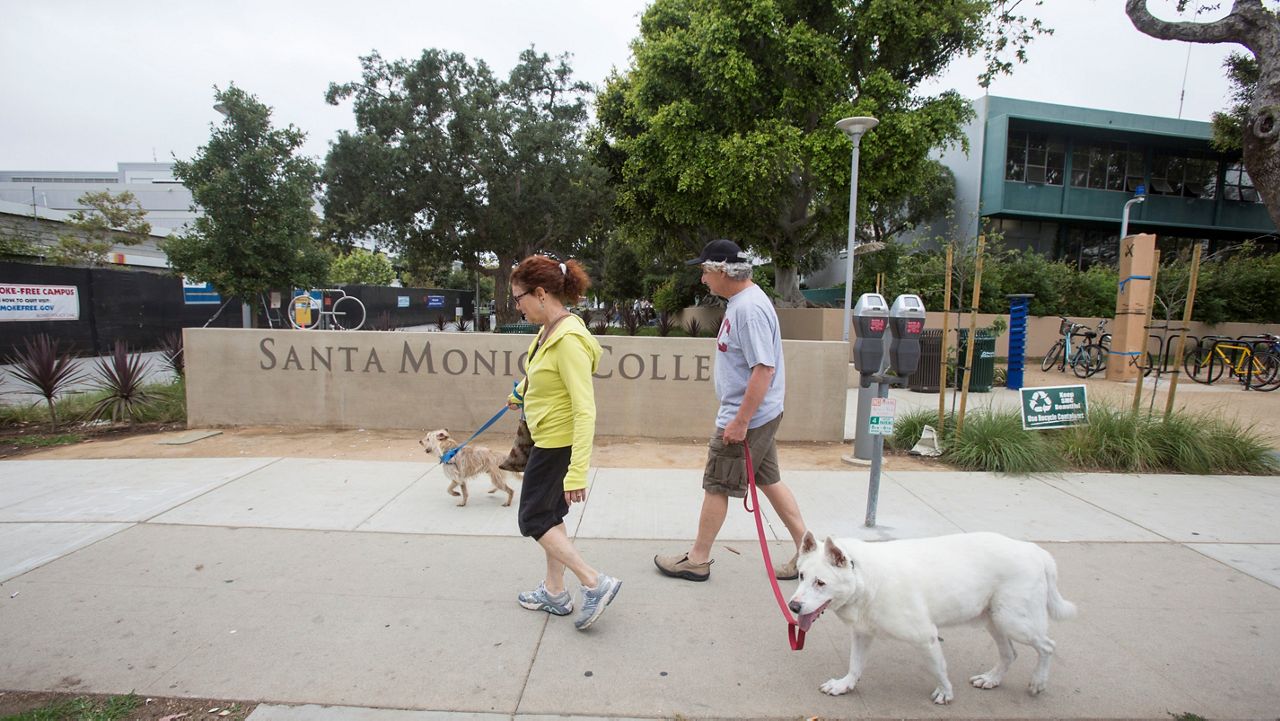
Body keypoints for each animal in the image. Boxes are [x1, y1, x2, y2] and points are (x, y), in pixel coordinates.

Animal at [788, 530, 1070, 706]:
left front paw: (946, 693)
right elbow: (855, 666)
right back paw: (991, 679)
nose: (793, 606)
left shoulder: (926, 637)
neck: (864, 577)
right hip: (996, 620)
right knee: (1010, 654)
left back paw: (1038, 682)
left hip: (1014, 621)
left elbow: (938, 668)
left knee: (1048, 646)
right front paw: (844, 685)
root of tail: (1033, 550)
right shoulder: (862, 634)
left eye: (820, 583)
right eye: (801, 576)